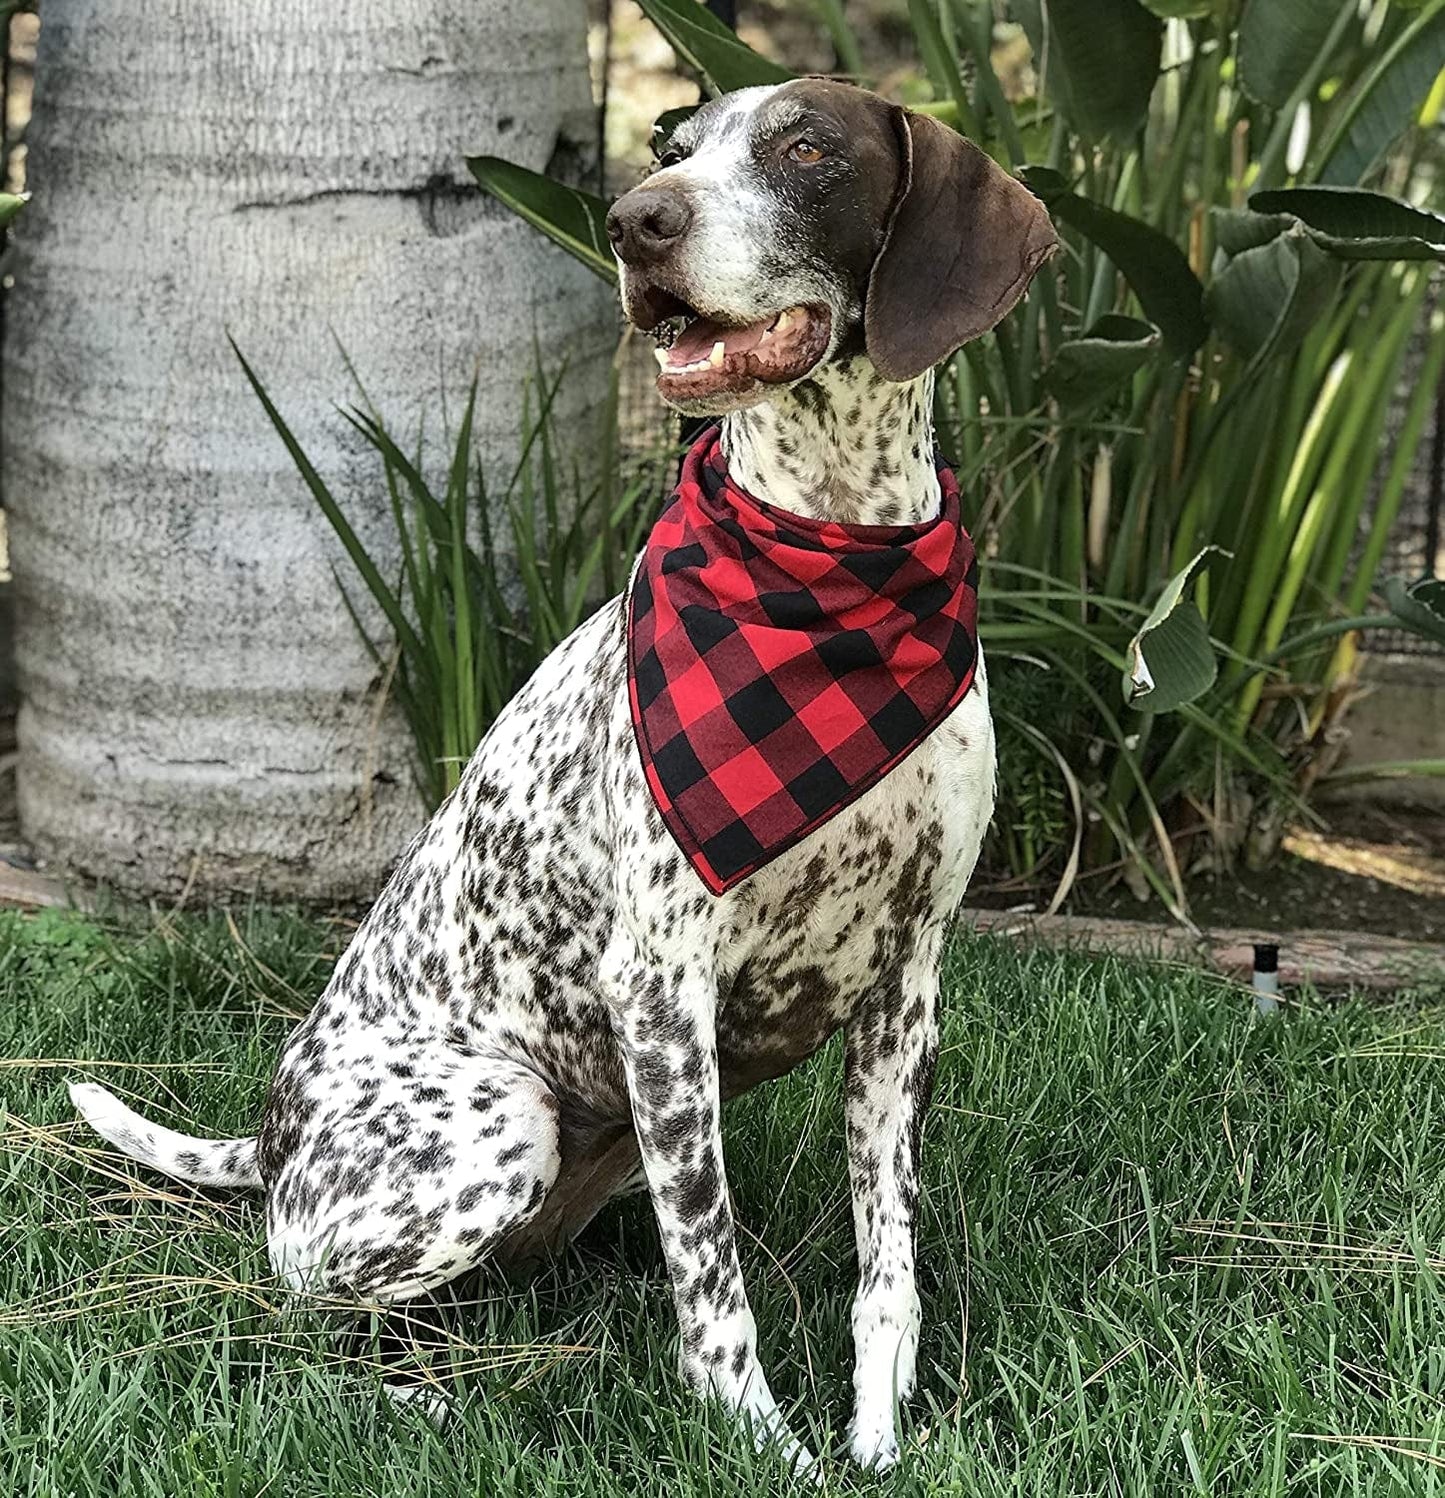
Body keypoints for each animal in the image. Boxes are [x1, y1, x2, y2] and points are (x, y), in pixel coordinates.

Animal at [67, 76, 1054, 1468]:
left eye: (808, 149)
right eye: (670, 148)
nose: (637, 222)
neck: (830, 557)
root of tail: (268, 1141)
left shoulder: (903, 984)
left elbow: (885, 1260)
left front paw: (877, 1437)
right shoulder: (661, 987)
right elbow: (711, 1277)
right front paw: (762, 1446)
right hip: (499, 1121)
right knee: (306, 1307)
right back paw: (426, 1396)